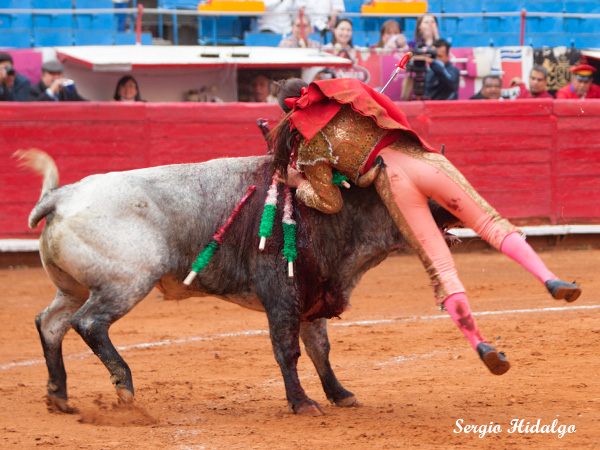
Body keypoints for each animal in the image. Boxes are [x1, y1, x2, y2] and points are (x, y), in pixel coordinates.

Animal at [15, 149, 460, 416]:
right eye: (412, 188)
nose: (451, 208)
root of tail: (62, 196)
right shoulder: (281, 295)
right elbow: (288, 351)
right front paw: (301, 403)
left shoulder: (311, 294)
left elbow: (320, 349)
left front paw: (339, 394)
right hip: (126, 282)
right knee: (89, 323)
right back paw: (123, 386)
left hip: (73, 288)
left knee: (50, 323)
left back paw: (58, 395)